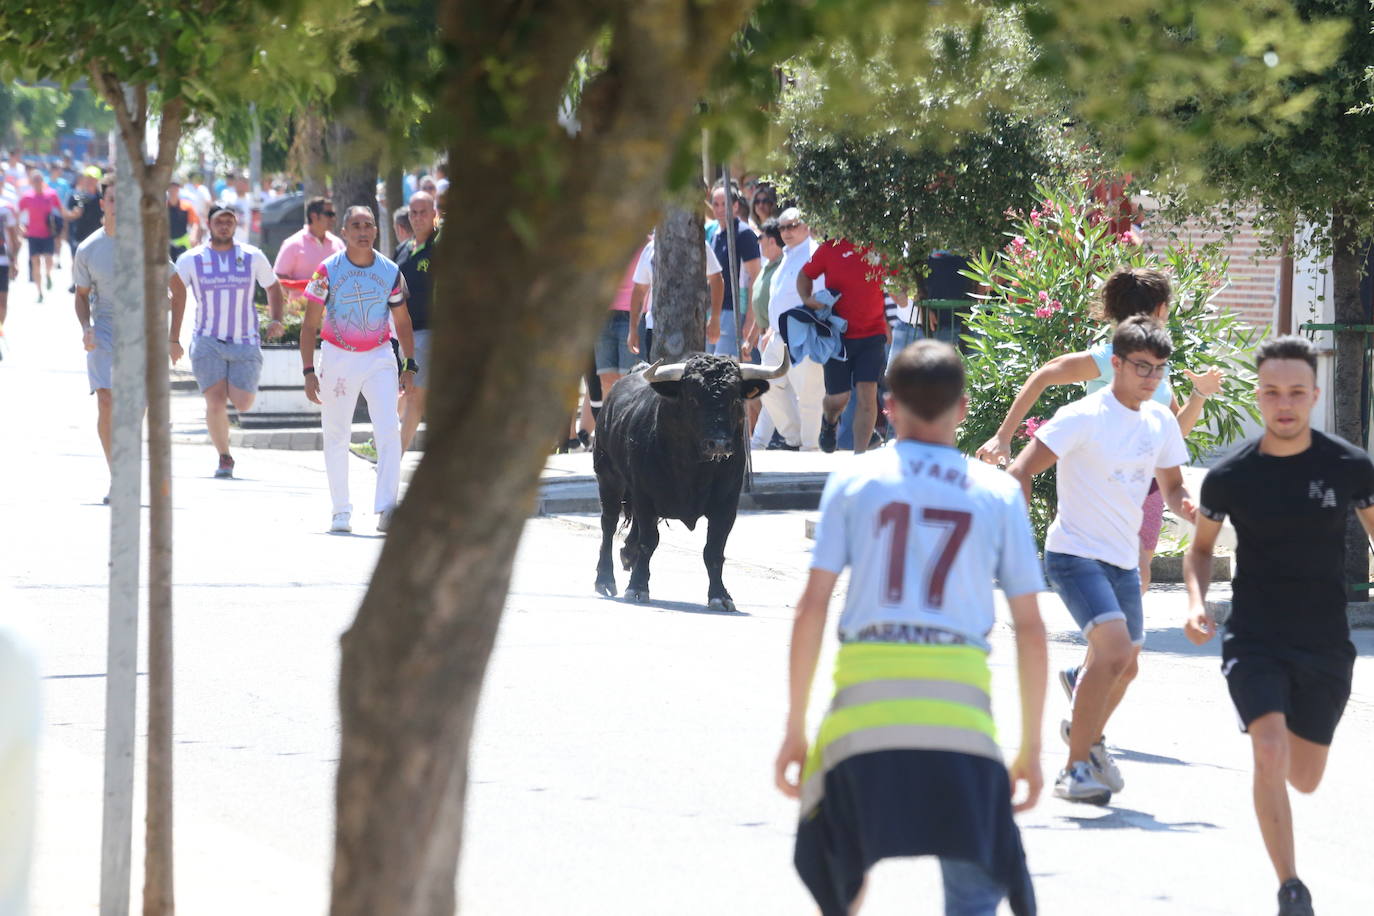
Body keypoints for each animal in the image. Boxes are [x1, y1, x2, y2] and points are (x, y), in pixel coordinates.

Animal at [596, 354, 791, 612]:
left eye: (734, 399)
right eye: (693, 398)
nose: (719, 443)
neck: (693, 469)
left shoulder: (726, 505)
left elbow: (714, 550)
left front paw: (720, 595)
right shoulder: (645, 496)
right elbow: (649, 542)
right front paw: (637, 588)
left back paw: (627, 555)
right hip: (608, 478)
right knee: (608, 524)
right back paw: (605, 579)